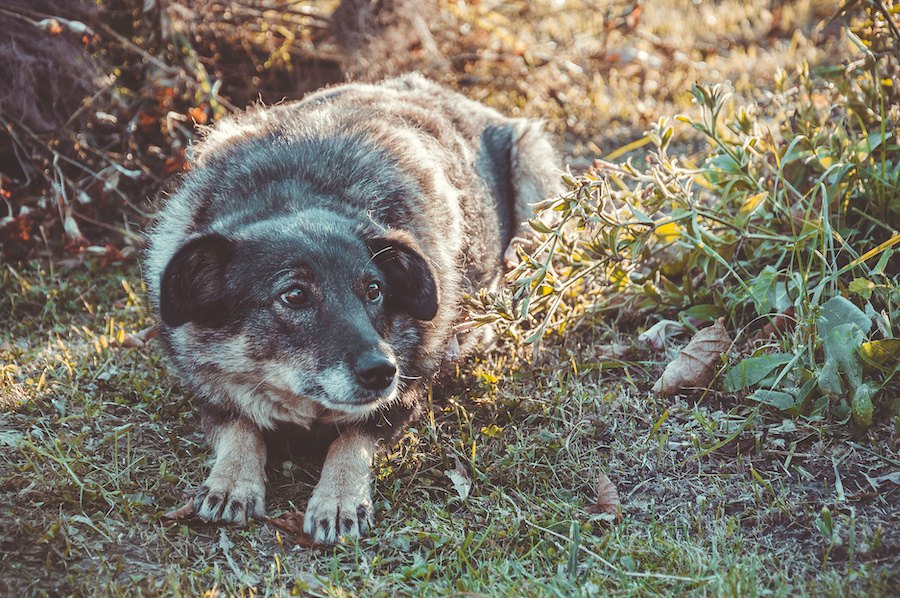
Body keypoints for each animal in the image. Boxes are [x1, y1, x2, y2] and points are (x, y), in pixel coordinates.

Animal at [144, 72, 560, 548]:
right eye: (294, 295)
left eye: (374, 290)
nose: (382, 371)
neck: (295, 193)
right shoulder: (206, 390)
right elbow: (240, 426)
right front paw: (232, 478)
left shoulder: (403, 396)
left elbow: (351, 440)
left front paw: (337, 498)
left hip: (535, 179)